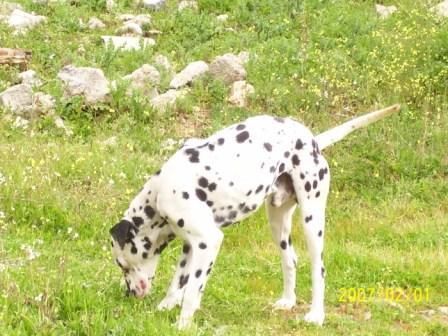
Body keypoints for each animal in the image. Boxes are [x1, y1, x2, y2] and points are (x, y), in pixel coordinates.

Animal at [110, 104, 400, 328]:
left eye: (122, 264)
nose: (128, 293)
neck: (159, 192)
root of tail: (313, 141)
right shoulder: (191, 245)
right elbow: (179, 281)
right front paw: (167, 306)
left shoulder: (208, 241)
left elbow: (192, 290)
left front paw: (183, 323)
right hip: (277, 223)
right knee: (290, 260)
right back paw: (288, 301)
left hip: (312, 219)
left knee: (318, 268)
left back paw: (316, 315)